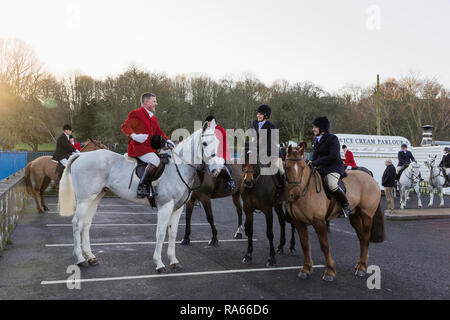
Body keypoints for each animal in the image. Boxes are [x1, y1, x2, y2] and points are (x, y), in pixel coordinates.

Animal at [58, 121, 223, 272]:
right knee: (76, 223)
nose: (216, 169)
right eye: (205, 143)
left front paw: (173, 260)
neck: (178, 168)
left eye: (218, 143)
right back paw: (80, 258)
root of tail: (81, 155)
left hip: (95, 197)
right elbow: (161, 233)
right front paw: (159, 263)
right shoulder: (165, 206)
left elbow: (173, 233)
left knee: (86, 224)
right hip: (84, 199)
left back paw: (91, 257)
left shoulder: (177, 208)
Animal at [284, 144, 384, 282]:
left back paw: (362, 268)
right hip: (355, 216)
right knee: (362, 238)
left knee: (366, 238)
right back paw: (359, 264)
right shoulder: (299, 223)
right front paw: (305, 269)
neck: (306, 190)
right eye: (287, 167)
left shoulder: (319, 222)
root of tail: (369, 176)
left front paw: (330, 272)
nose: (295, 194)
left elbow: (325, 246)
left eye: (303, 168)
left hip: (367, 215)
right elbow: (305, 245)